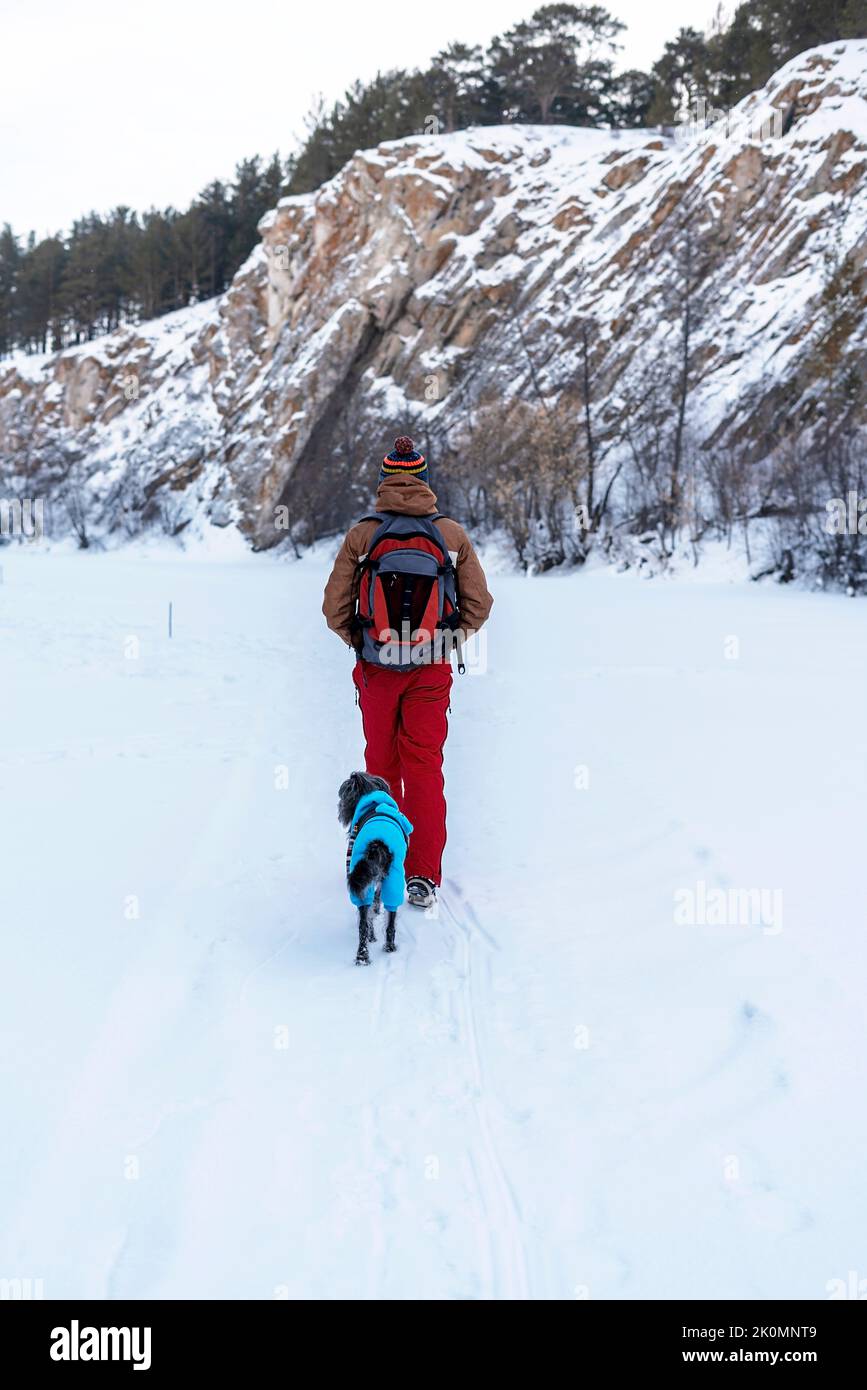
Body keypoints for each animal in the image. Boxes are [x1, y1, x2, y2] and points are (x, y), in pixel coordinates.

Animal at [337, 772, 414, 967]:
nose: (340, 809)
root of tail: (377, 843)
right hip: (393, 878)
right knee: (387, 920)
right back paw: (388, 947)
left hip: (364, 880)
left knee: (364, 923)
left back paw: (363, 955)